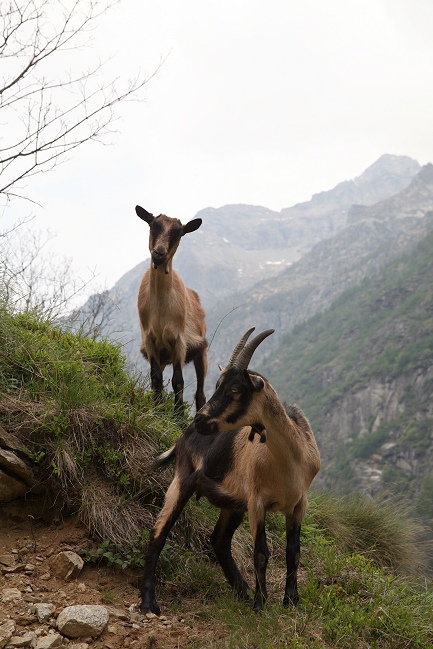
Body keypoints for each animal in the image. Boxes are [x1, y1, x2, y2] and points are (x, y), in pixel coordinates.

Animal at [136, 205, 208, 412]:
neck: (161, 308)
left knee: (200, 393)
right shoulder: (150, 340)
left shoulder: (180, 341)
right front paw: (157, 411)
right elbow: (155, 378)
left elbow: (178, 380)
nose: (159, 253)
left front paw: (178, 416)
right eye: (153, 225)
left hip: (202, 351)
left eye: (179, 233)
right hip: (162, 355)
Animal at [139, 326, 320, 616]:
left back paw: (242, 591)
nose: (199, 419)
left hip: (232, 503)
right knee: (158, 533)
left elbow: (294, 551)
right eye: (217, 386)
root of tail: (182, 439)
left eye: (235, 388)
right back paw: (148, 602)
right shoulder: (257, 502)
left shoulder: (298, 503)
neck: (288, 462)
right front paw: (260, 605)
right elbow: (261, 552)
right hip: (183, 480)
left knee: (219, 540)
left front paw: (291, 600)